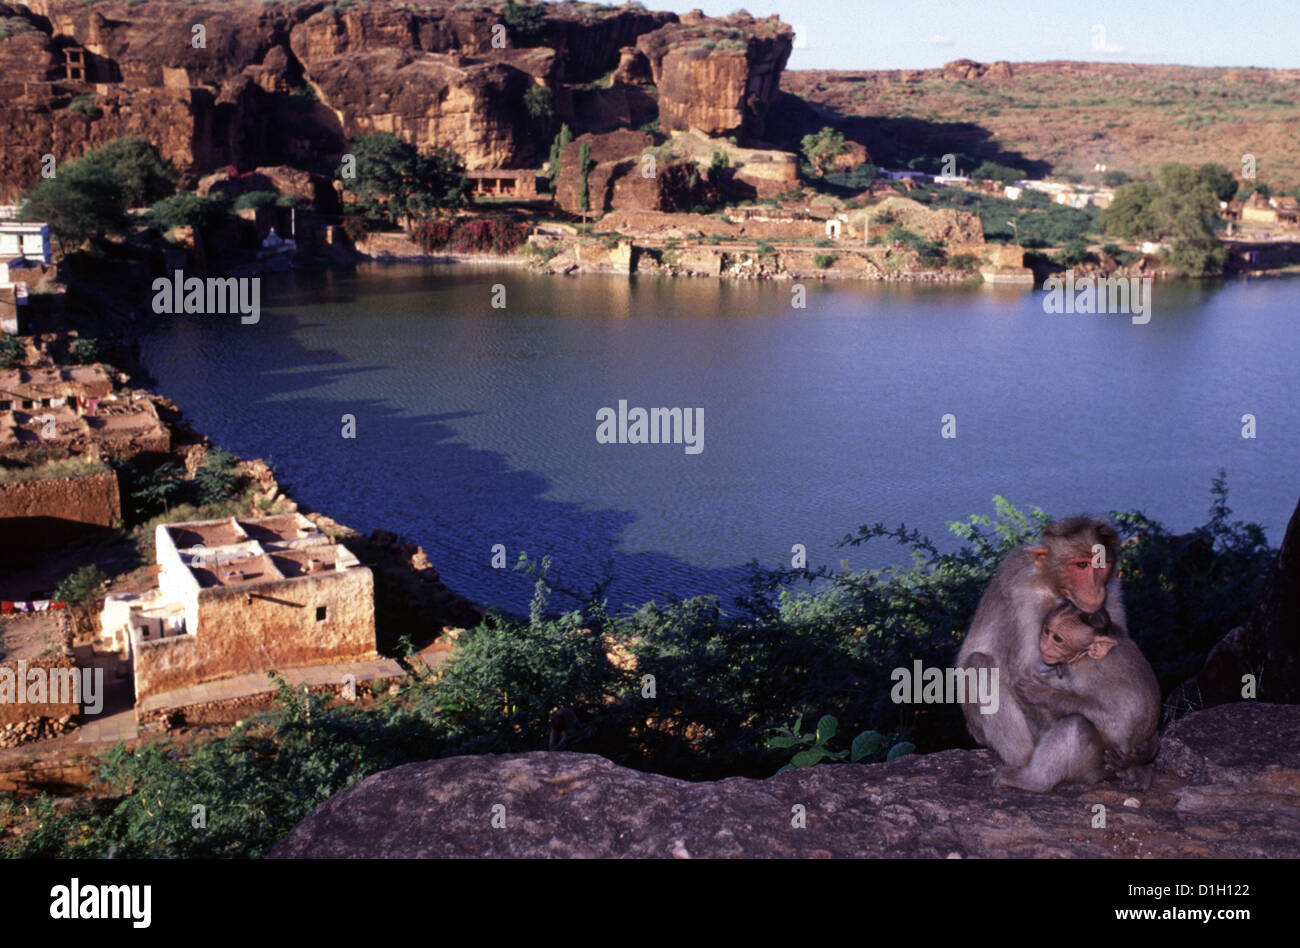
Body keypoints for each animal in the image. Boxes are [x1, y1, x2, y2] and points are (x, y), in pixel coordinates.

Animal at [956, 517, 1128, 785]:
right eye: (1081, 565)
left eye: (1102, 565)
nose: (1095, 590)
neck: (1053, 586)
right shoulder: (1023, 592)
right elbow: (1022, 671)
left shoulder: (1111, 587)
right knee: (978, 663)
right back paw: (1027, 765)